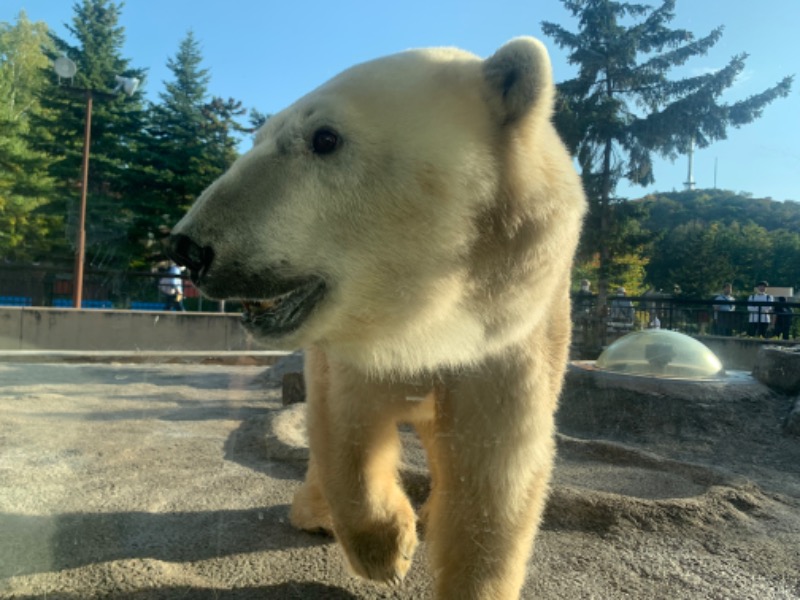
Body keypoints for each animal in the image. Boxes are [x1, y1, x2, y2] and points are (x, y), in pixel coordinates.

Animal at [167, 37, 580, 600]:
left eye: (324, 138)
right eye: (259, 137)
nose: (189, 247)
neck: (433, 317)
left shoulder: (511, 339)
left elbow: (494, 474)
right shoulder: (350, 340)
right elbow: (348, 427)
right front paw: (388, 550)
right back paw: (315, 514)